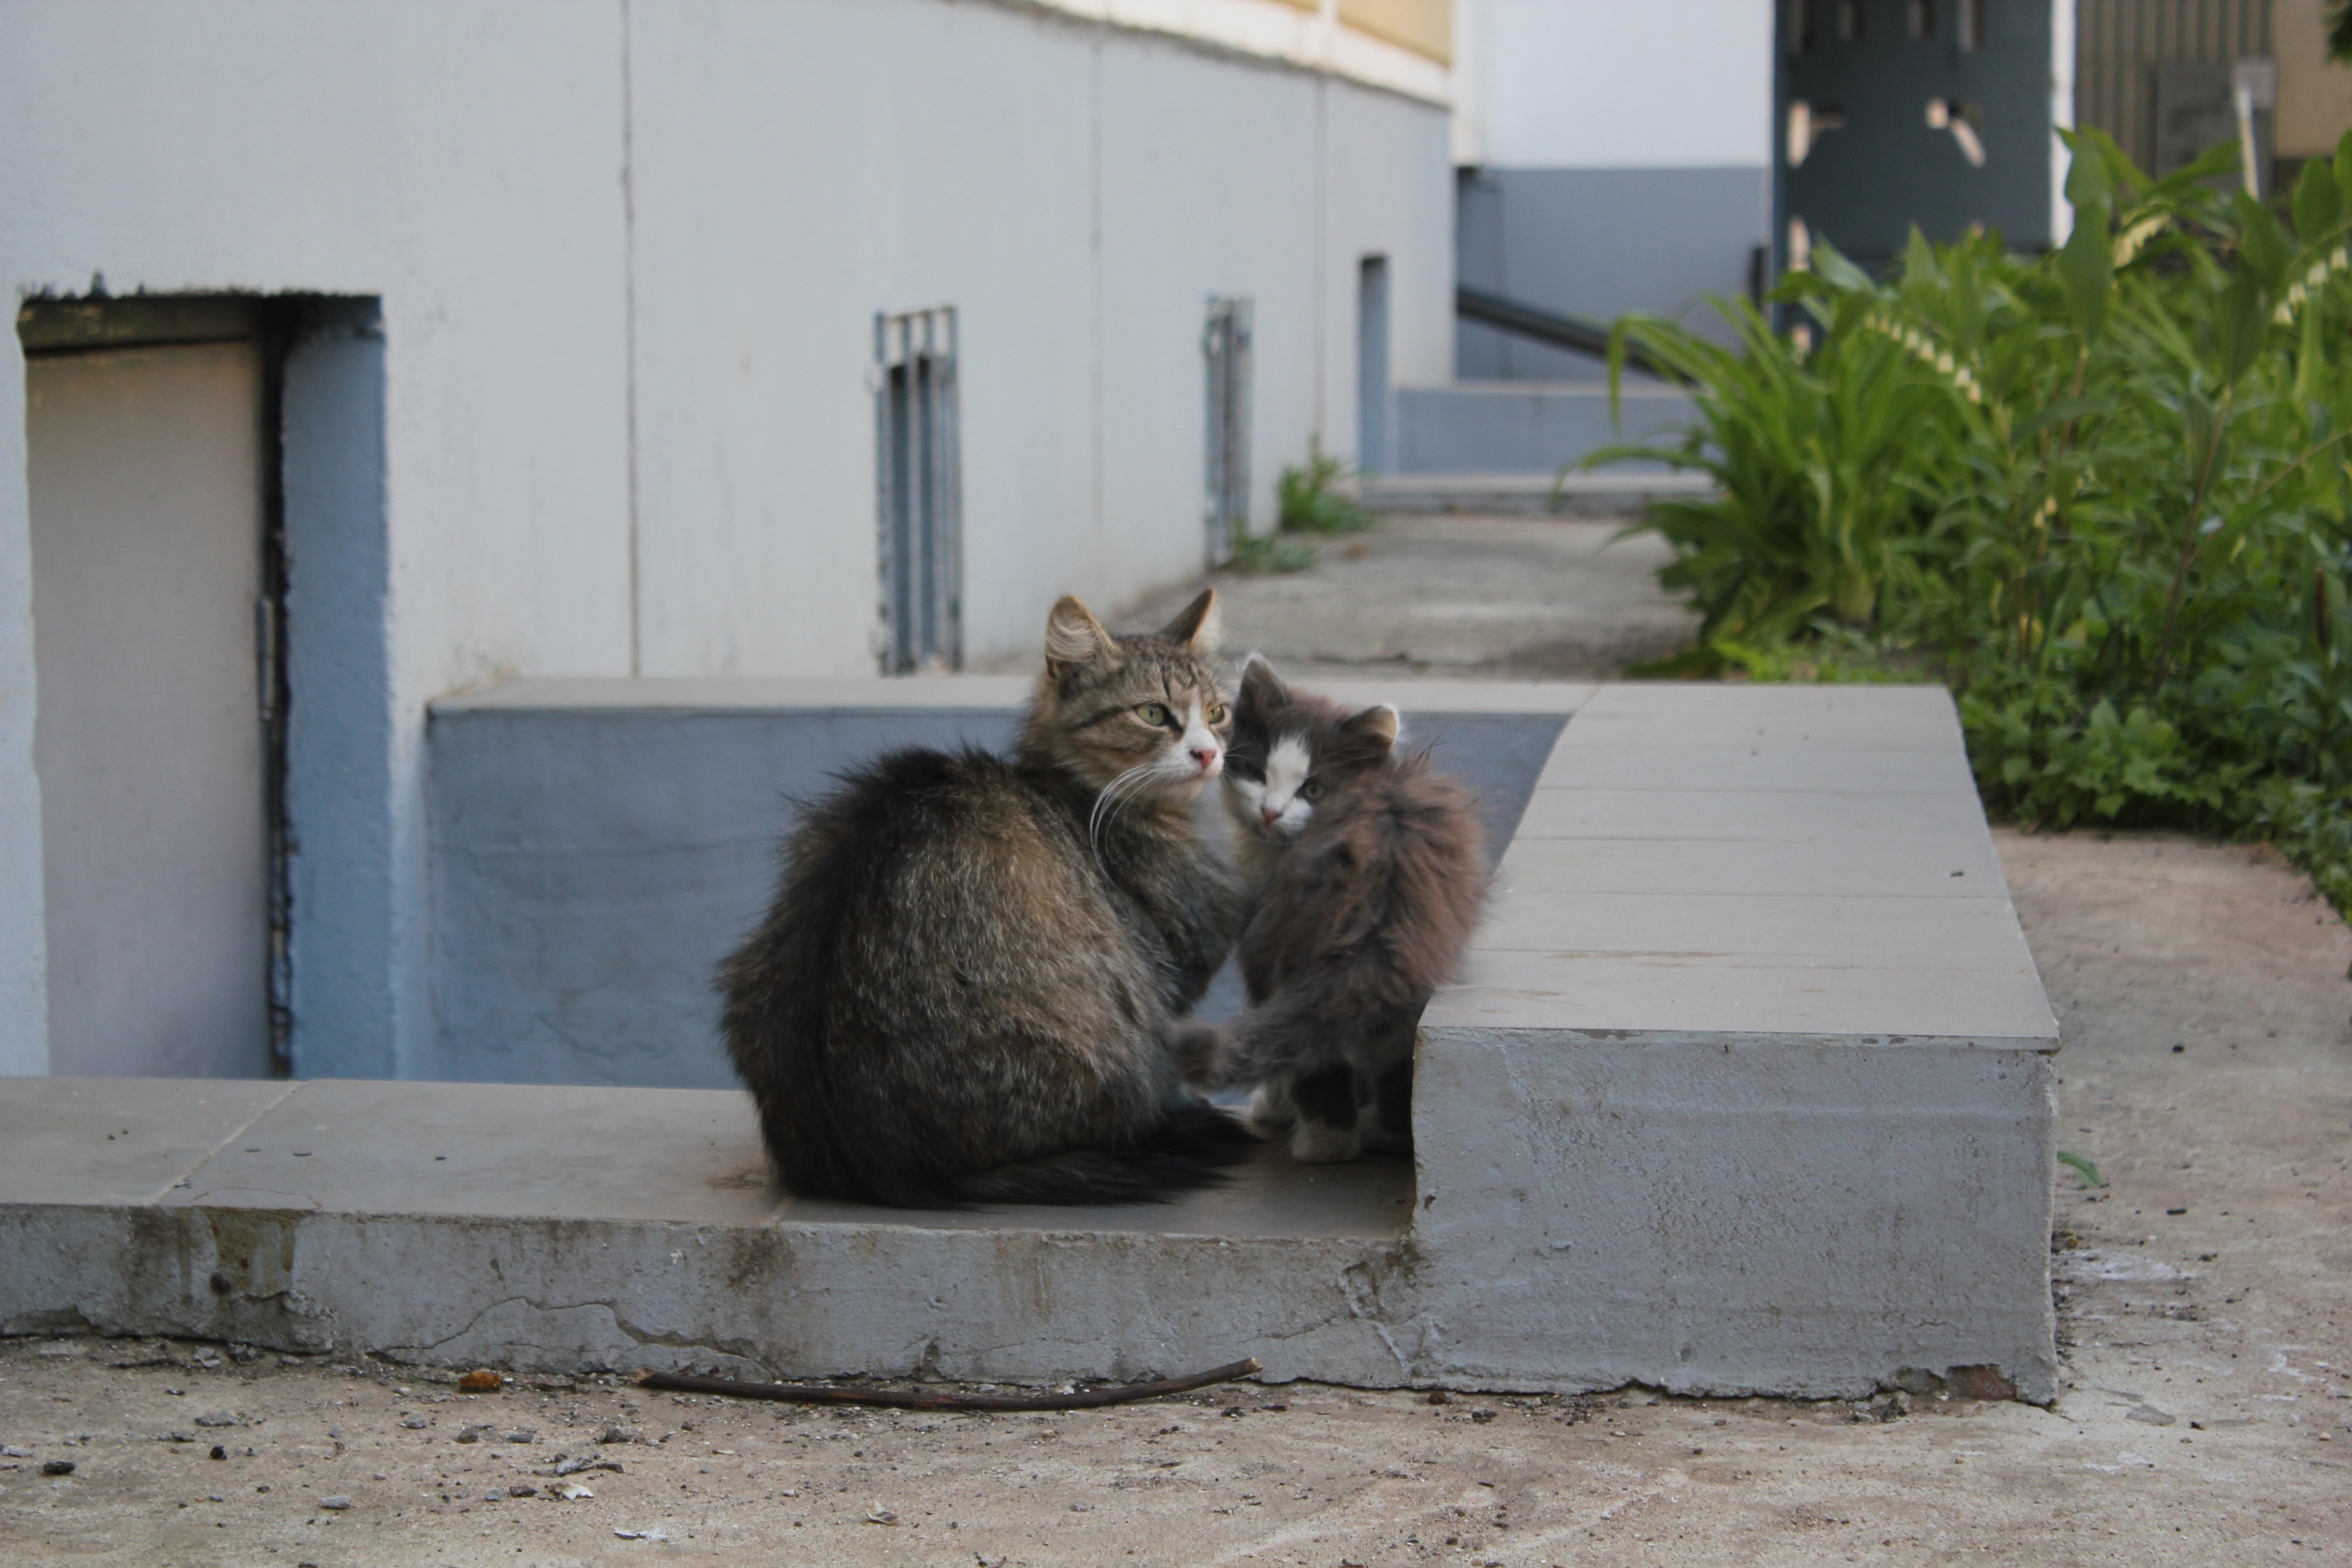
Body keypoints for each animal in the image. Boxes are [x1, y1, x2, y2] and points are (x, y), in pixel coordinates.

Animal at [1194, 658, 1486, 1161]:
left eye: (1313, 790)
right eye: (1256, 773)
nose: (1270, 812)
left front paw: (1272, 1107)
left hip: (1286, 948)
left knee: (1313, 1055)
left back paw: (1322, 1145)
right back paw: (1388, 1136)